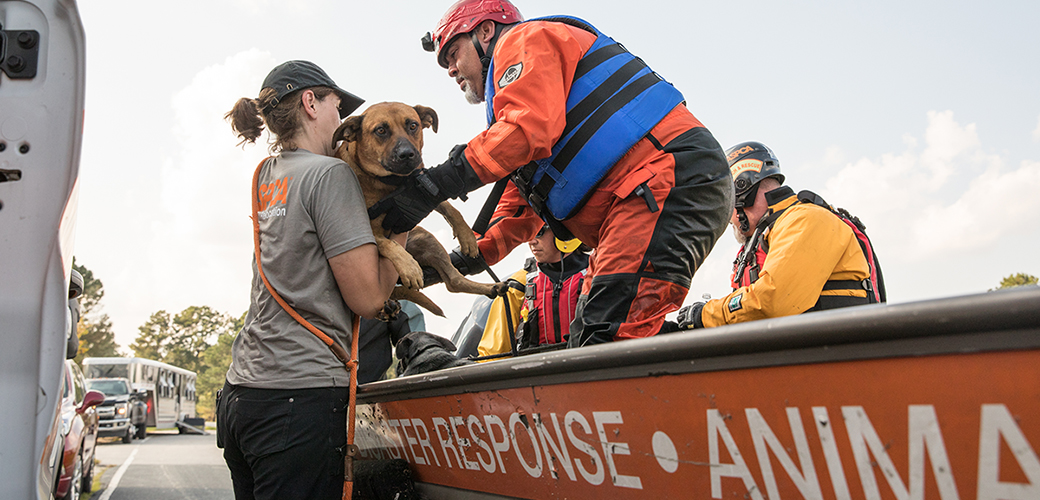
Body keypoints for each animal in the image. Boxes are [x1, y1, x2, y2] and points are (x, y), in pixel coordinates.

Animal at [330, 101, 497, 316]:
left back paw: (494, 287)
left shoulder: (421, 187)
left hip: (426, 239)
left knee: (454, 281)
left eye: (412, 125)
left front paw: (467, 236)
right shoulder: (367, 231)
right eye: (380, 130)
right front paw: (409, 267)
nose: (407, 154)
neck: (389, 184)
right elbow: (388, 244)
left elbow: (449, 207)